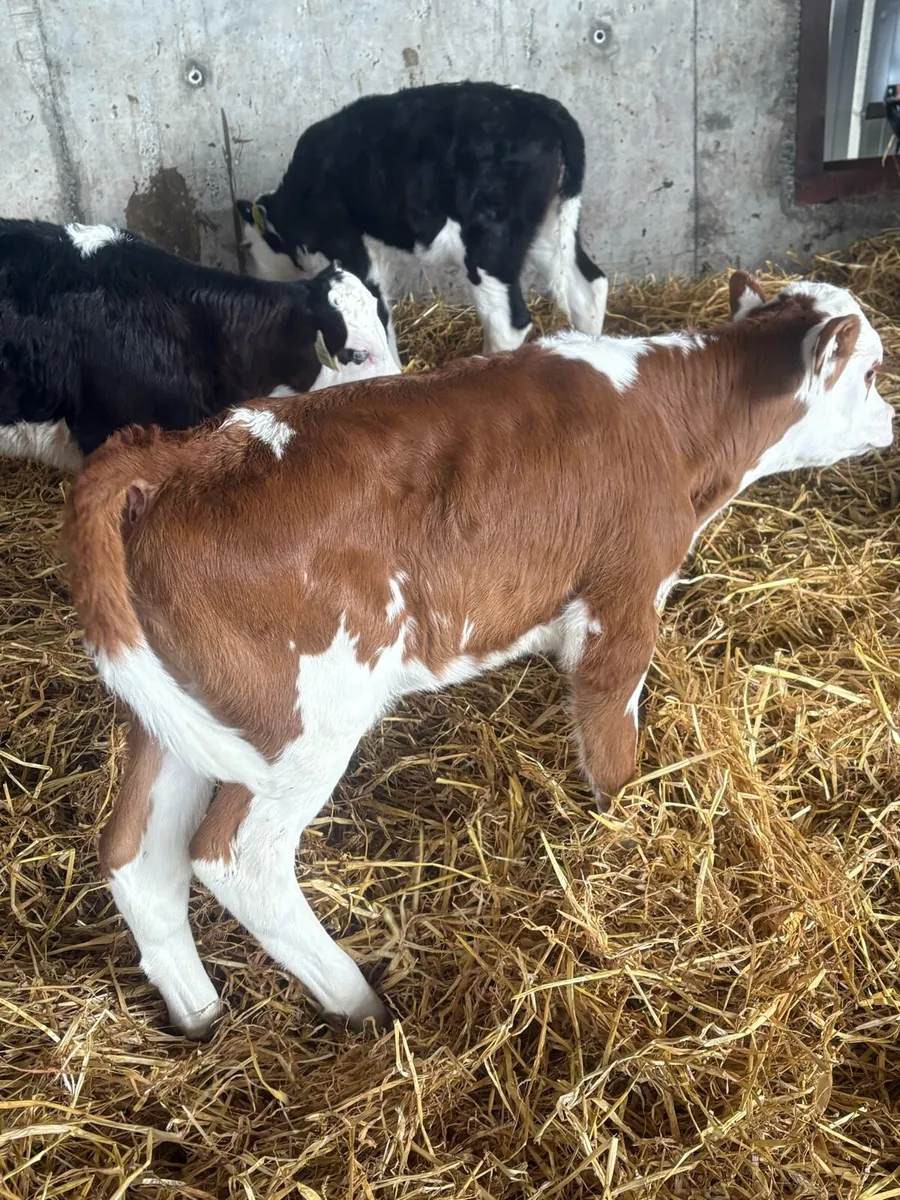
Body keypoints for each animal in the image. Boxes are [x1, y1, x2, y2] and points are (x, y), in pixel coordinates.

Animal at [62, 272, 892, 1039]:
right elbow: (611, 748)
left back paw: (200, 1013)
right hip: (302, 718)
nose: (891, 418)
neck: (670, 421)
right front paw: (622, 830)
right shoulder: (621, 606)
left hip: (183, 712)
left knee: (136, 852)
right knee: (237, 857)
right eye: (872, 372)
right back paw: (359, 1002)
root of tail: (184, 451)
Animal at [235, 81, 608, 364]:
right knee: (588, 288)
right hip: (549, 229)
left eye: (249, 249)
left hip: (490, 242)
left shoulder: (349, 249)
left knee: (508, 321)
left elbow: (375, 314)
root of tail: (547, 110)